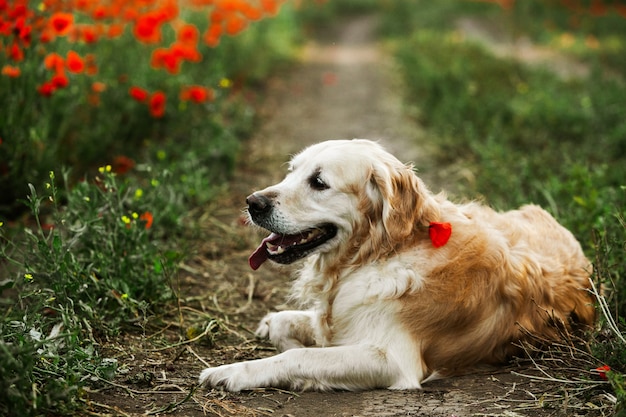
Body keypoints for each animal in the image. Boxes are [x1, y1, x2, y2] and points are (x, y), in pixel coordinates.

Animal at [197, 139, 592, 390]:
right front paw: (280, 327)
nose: (253, 202)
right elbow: (292, 327)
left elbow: (298, 358)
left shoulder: (393, 359)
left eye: (319, 182)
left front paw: (233, 371)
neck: (381, 252)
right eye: (291, 171)